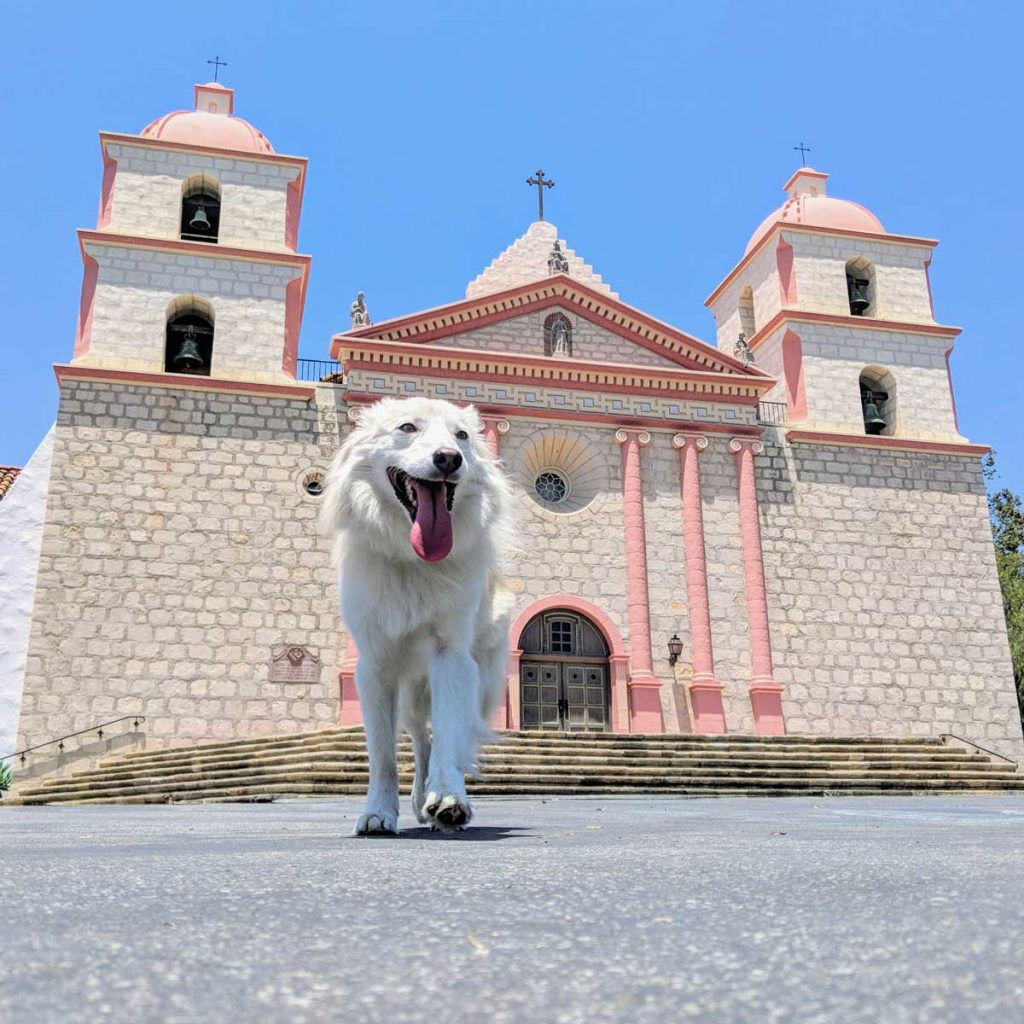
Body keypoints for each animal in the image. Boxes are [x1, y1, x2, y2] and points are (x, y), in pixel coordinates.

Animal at [319, 395, 512, 835]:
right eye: (407, 427)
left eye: (462, 435)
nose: (449, 458)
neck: (414, 560)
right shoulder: (374, 667)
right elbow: (383, 754)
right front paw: (378, 812)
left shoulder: (451, 657)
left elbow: (448, 734)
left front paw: (450, 799)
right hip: (409, 696)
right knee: (420, 740)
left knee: (443, 735)